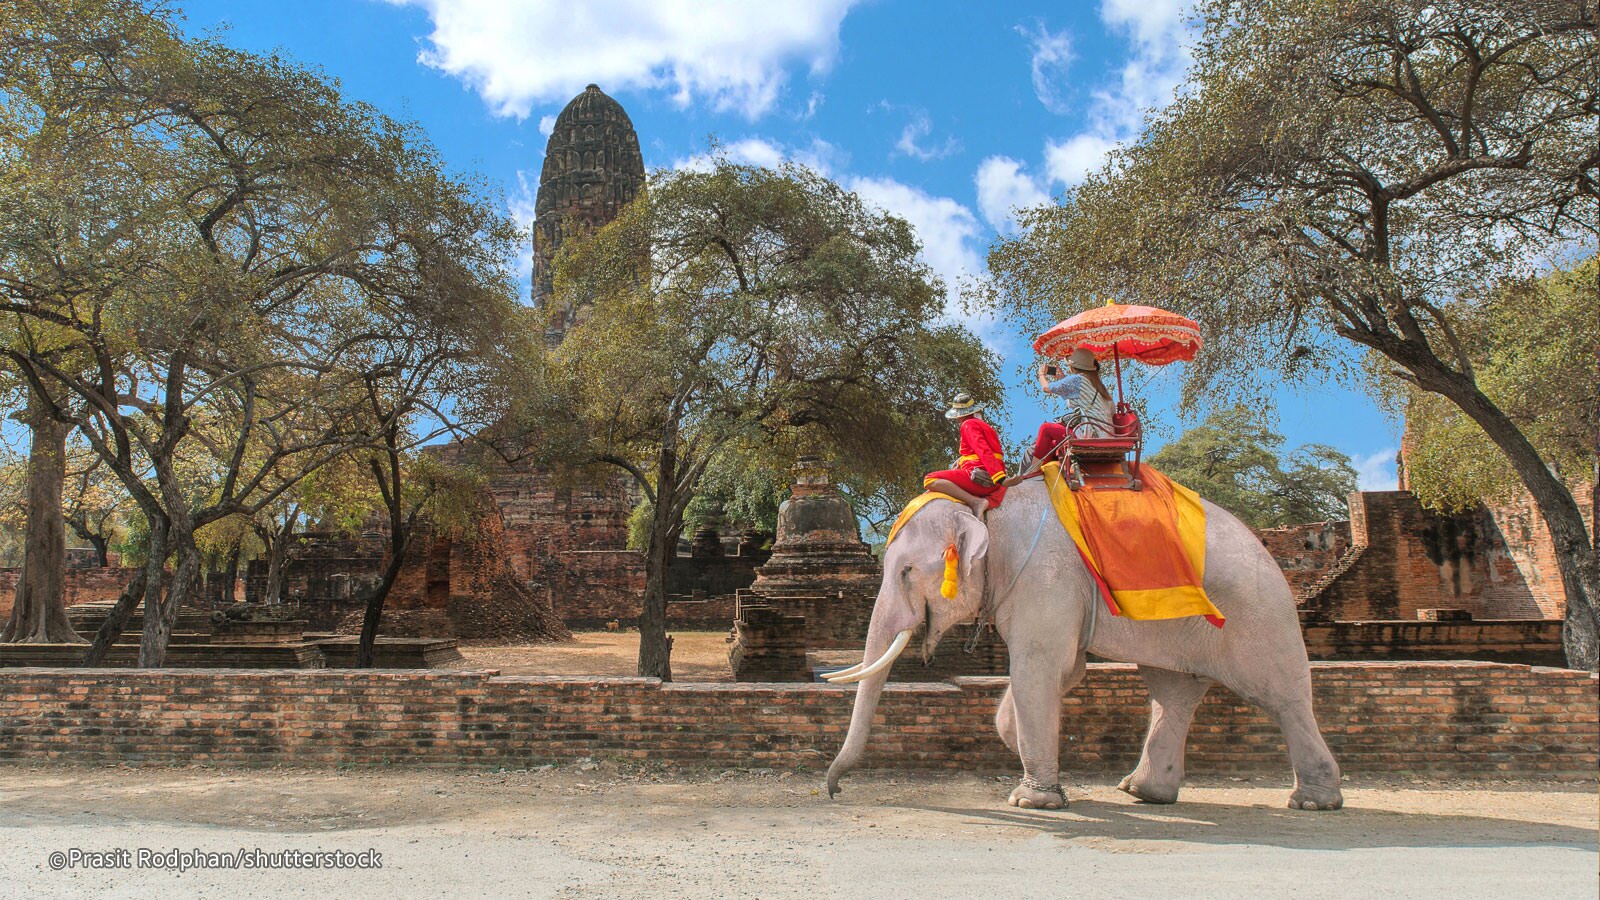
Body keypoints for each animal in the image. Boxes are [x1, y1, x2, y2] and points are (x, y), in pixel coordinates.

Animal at [832, 474, 1344, 810]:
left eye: (905, 571)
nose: (835, 789)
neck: (984, 507)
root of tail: (1268, 552)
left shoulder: (1044, 579)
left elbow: (1039, 668)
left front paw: (1032, 802)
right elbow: (1060, 672)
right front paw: (1043, 773)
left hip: (1258, 616)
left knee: (1281, 696)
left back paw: (1314, 802)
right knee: (1173, 692)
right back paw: (1143, 793)